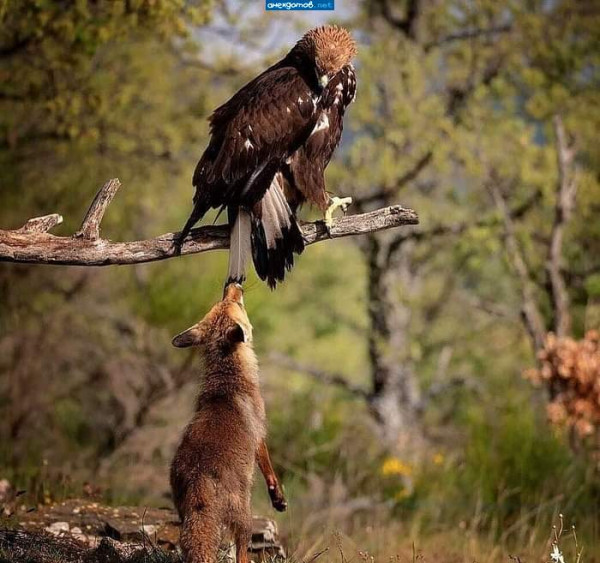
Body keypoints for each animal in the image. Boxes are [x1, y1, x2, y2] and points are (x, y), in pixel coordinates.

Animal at [170, 286, 284, 563]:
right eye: (238, 304)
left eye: (223, 301)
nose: (233, 285)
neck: (228, 379)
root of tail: (199, 475)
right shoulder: (259, 435)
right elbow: (269, 470)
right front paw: (278, 498)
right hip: (244, 517)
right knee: (242, 552)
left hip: (185, 517)